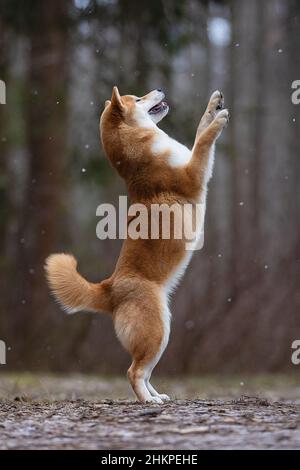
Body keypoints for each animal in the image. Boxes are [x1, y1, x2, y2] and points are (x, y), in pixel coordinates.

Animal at [44, 87, 229, 404]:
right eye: (139, 99)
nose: (159, 89)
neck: (143, 152)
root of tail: (109, 288)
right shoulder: (193, 173)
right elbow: (203, 141)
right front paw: (219, 121)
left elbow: (199, 127)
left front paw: (213, 106)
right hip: (157, 331)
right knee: (134, 372)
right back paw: (147, 401)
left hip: (161, 336)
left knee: (145, 373)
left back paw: (157, 396)